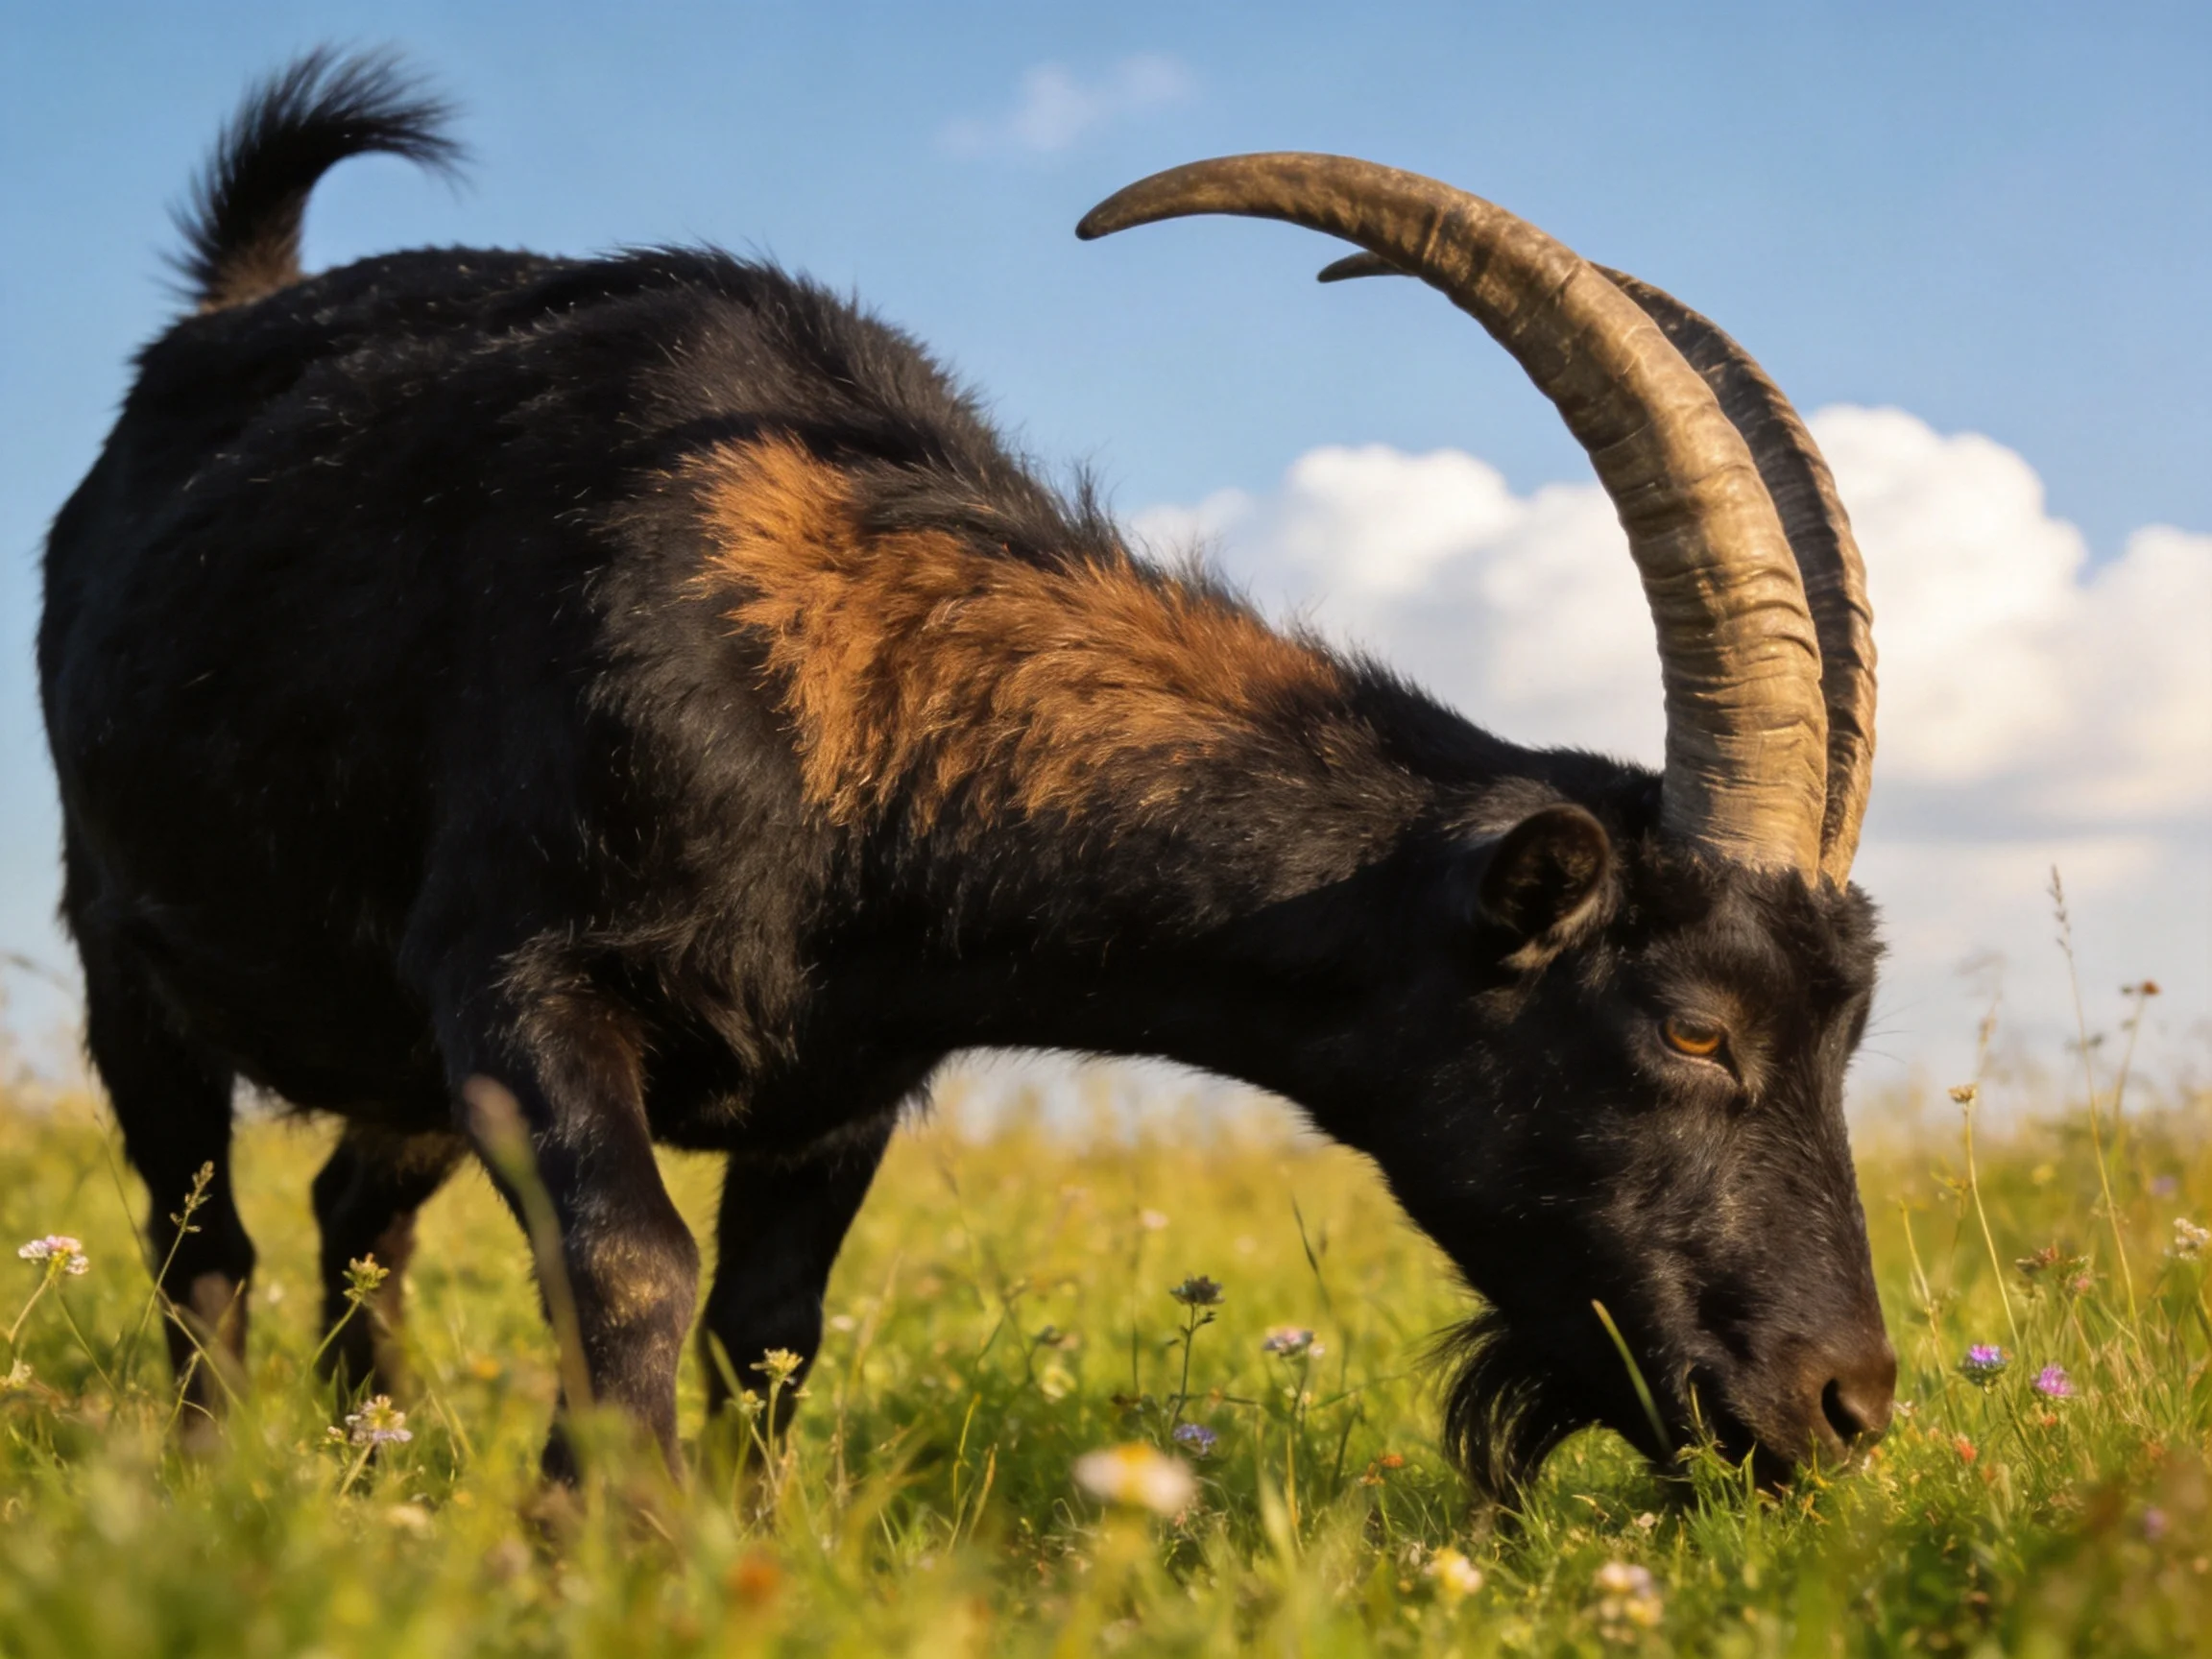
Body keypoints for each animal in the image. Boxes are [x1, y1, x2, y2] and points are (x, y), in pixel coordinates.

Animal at [40, 51, 1892, 1491]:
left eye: (1843, 1032)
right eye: (1692, 1027)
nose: (1842, 1403)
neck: (841, 696)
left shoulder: (848, 1080)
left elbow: (767, 1330)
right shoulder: (516, 977)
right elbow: (631, 1267)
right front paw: (601, 1550)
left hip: (392, 1067)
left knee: (358, 1209)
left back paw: (372, 1479)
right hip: (130, 953)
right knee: (204, 1242)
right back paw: (212, 1496)